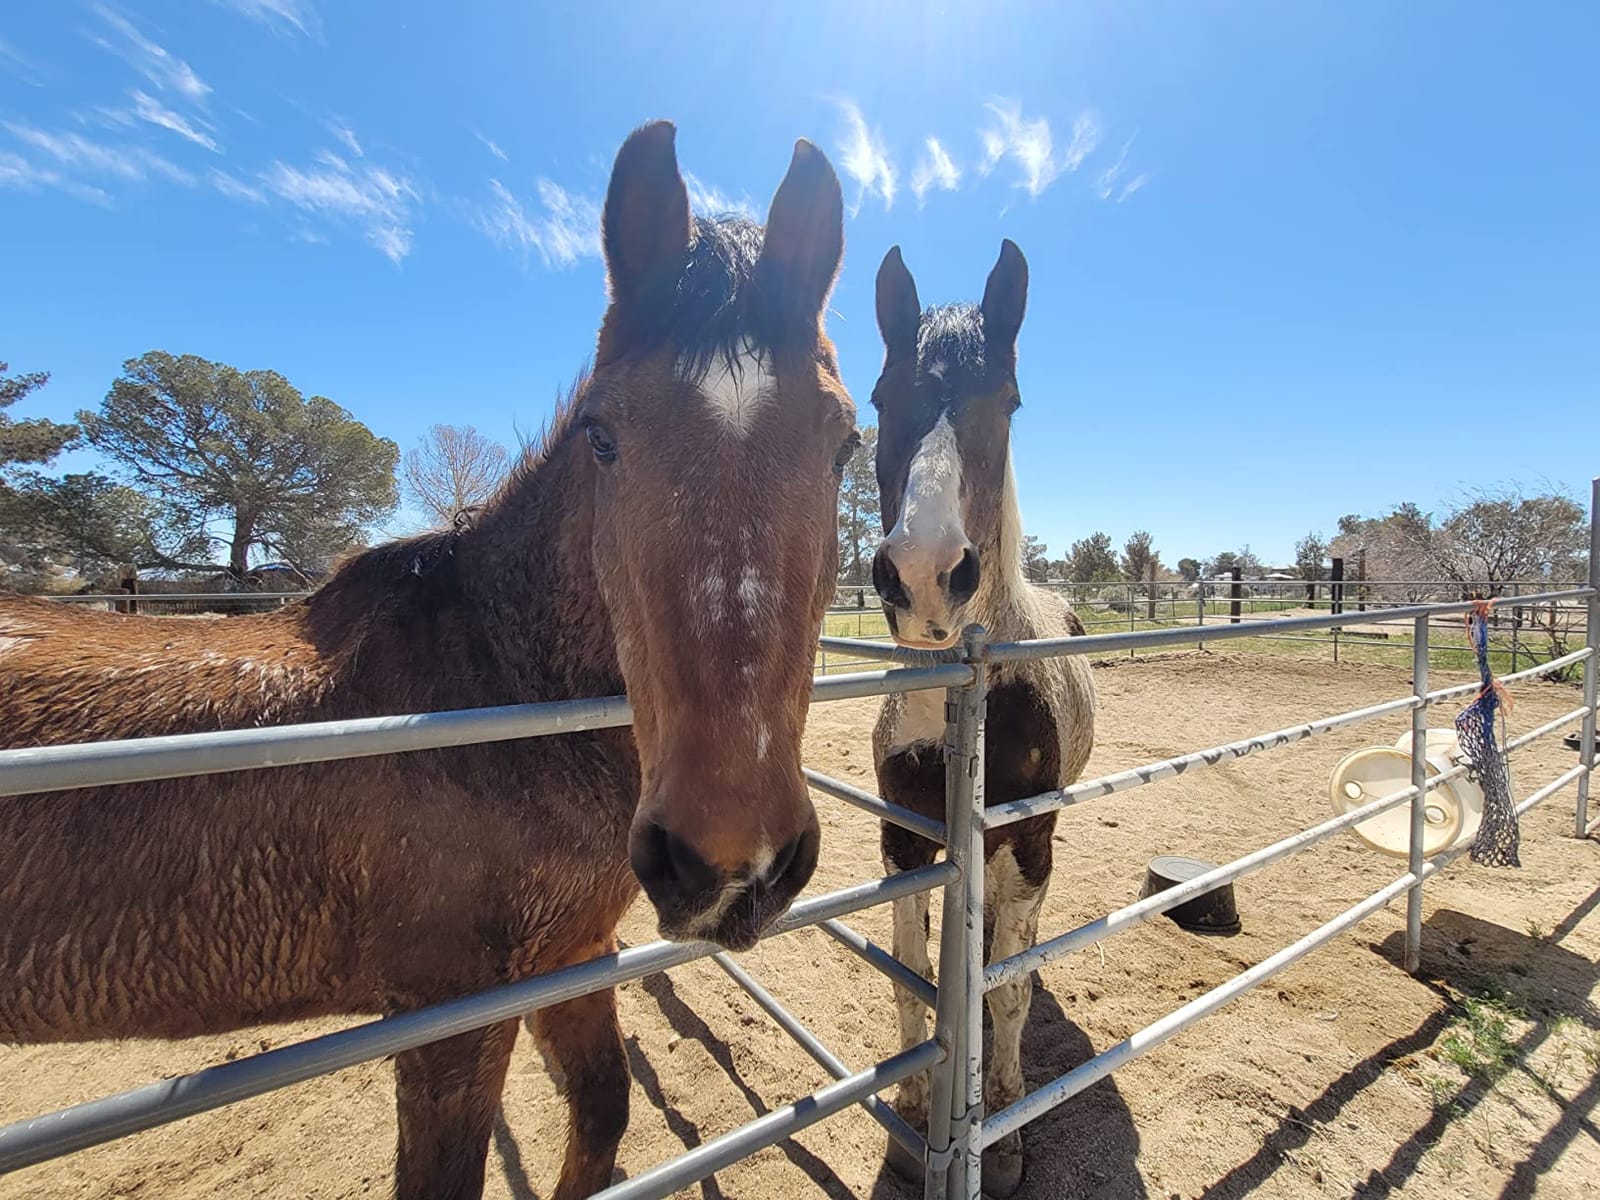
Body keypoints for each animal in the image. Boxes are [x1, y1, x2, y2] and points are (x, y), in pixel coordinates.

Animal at [0, 122, 856, 1200]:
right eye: (601, 436)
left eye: (846, 444)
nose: (729, 863)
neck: (497, 686)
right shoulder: (451, 1015)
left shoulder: (568, 954)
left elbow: (603, 1110)